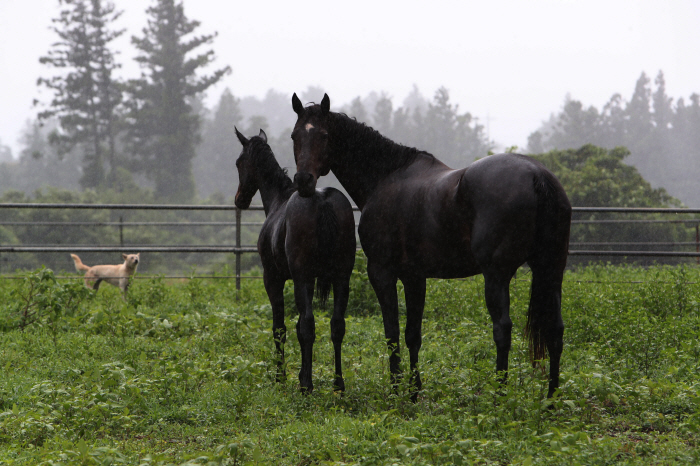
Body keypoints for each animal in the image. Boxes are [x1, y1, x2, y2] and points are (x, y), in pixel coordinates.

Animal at [234, 127, 356, 394]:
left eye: (239, 162)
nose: (239, 200)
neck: (279, 200)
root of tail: (323, 201)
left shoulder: (274, 279)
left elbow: (281, 328)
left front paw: (282, 376)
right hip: (342, 278)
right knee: (337, 325)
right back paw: (338, 383)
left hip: (302, 278)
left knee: (309, 326)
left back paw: (307, 386)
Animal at [292, 93, 572, 398]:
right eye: (295, 135)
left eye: (324, 135)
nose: (304, 181)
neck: (386, 177)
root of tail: (536, 176)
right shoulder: (415, 277)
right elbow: (412, 334)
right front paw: (414, 390)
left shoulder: (382, 272)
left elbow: (391, 331)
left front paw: (396, 388)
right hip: (551, 270)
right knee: (555, 330)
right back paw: (551, 398)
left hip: (497, 276)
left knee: (503, 330)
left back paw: (500, 394)